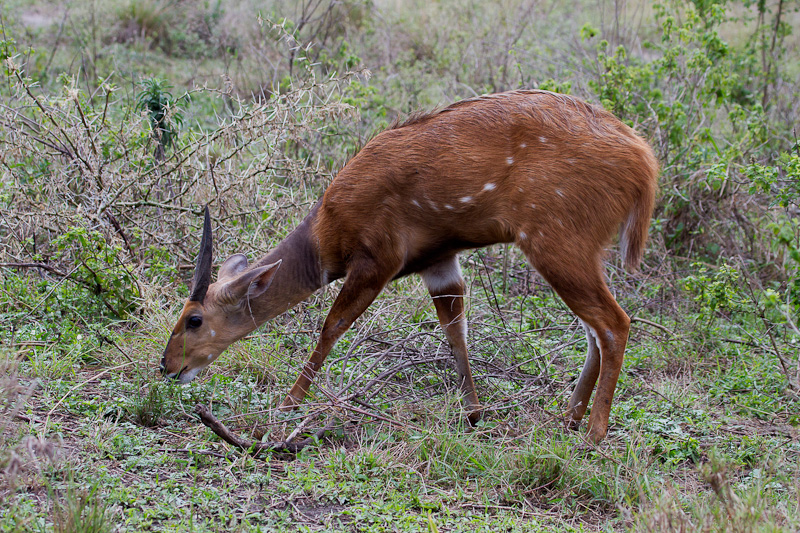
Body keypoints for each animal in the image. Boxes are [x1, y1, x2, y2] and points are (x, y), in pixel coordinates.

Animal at [160, 90, 658, 443]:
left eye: (194, 319)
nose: (167, 367)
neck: (326, 230)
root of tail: (644, 161)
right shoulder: (439, 263)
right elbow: (455, 331)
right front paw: (473, 413)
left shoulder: (376, 261)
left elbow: (331, 327)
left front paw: (287, 406)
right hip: (575, 252)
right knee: (594, 330)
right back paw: (567, 420)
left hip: (556, 244)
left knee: (615, 322)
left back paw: (592, 435)